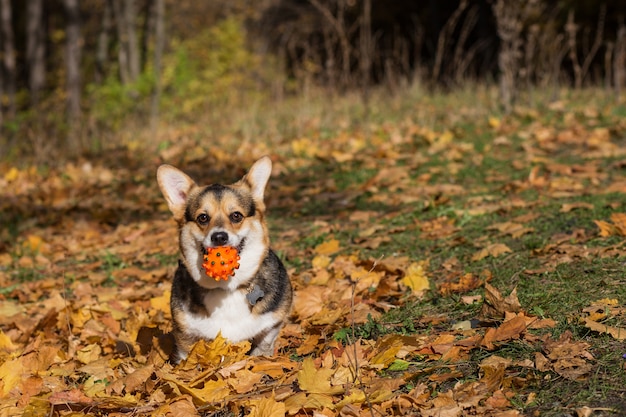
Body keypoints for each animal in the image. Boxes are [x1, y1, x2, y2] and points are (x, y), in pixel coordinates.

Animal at [156, 154, 292, 362]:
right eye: (203, 218)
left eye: (236, 216)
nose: (219, 237)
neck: (227, 288)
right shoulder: (185, 337)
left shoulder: (273, 321)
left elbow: (265, 342)